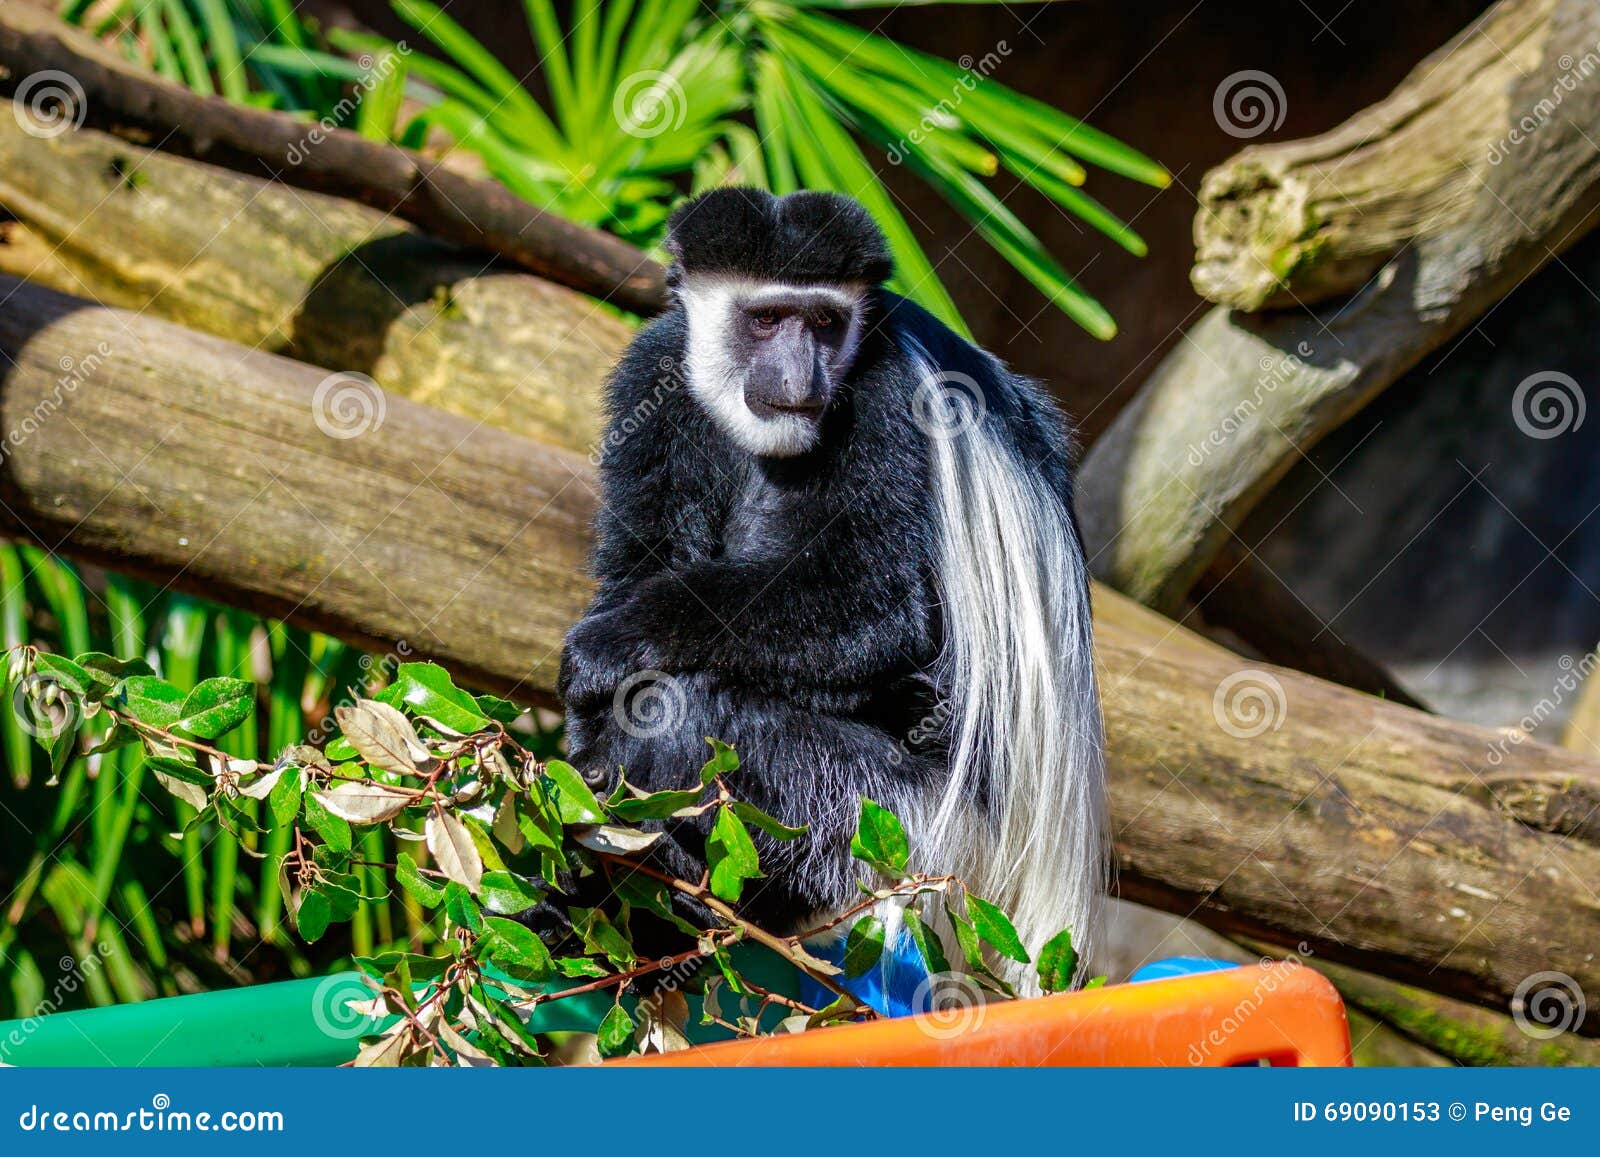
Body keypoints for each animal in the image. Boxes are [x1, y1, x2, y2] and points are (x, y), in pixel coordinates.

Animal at [556, 190, 1107, 998]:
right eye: (765, 320)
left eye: (824, 322)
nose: (798, 380)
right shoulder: (653, 372)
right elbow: (641, 558)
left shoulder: (884, 397)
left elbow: (874, 605)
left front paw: (605, 649)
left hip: (898, 829)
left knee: (686, 710)